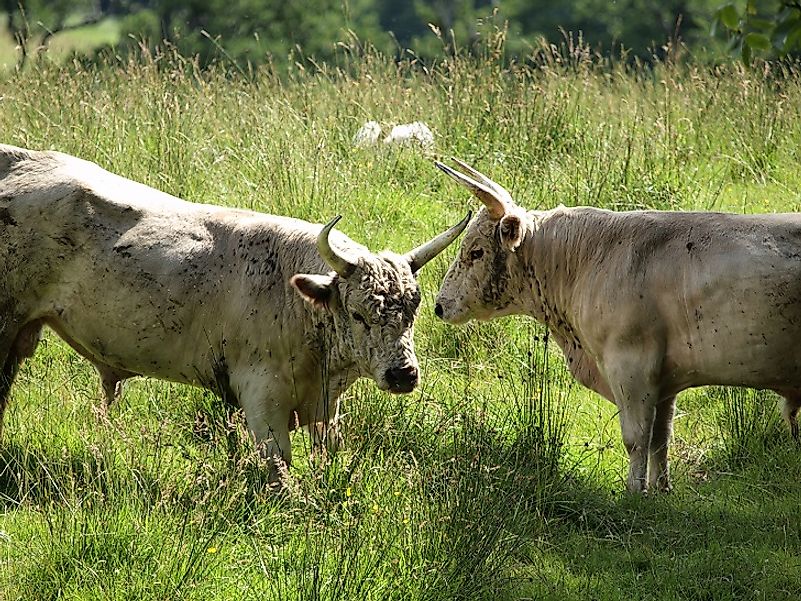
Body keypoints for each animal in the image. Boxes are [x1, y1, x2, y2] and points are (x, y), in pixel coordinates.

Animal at [0, 144, 468, 488]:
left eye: (414, 309)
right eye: (357, 313)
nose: (403, 374)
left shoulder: (324, 407)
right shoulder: (262, 397)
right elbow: (280, 469)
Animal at [434, 157, 800, 494]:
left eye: (476, 252)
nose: (440, 305)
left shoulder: (631, 367)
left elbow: (636, 439)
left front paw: (634, 493)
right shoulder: (665, 379)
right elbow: (660, 439)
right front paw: (661, 490)